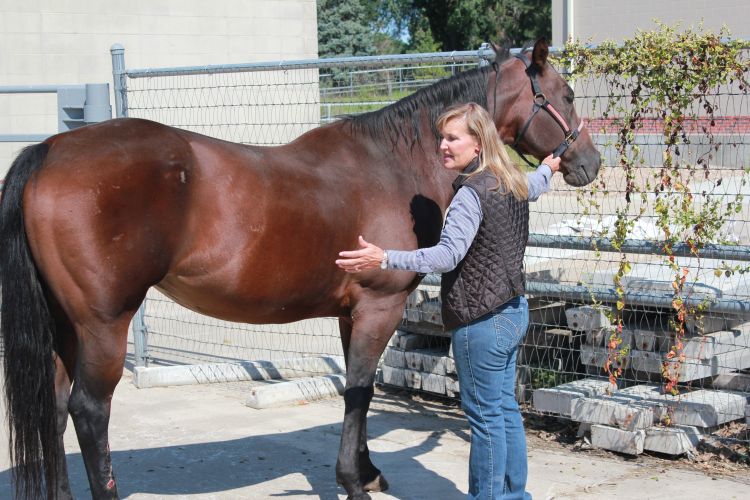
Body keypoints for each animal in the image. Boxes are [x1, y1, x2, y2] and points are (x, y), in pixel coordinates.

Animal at [0, 40, 600, 500]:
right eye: (567, 95)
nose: (589, 164)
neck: (392, 165)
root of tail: (50, 151)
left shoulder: (350, 313)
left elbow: (359, 386)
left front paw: (368, 471)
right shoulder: (379, 306)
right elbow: (358, 390)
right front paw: (353, 483)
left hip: (65, 325)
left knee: (54, 409)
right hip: (104, 323)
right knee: (88, 411)